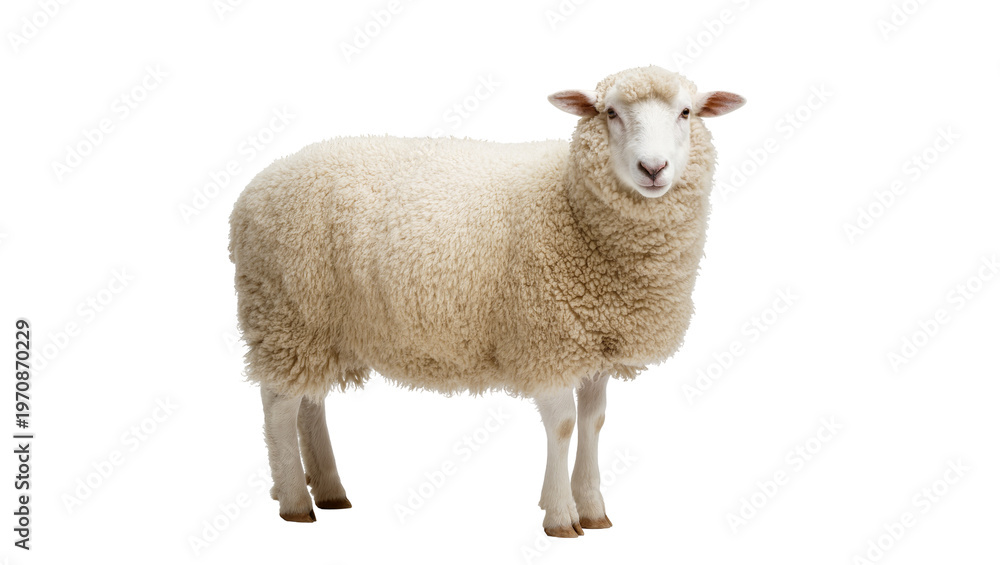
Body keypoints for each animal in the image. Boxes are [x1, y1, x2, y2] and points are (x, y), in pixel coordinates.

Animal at [228, 65, 744, 536]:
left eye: (686, 112)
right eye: (610, 112)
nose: (653, 169)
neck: (571, 208)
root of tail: (258, 184)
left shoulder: (594, 343)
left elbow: (593, 422)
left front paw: (593, 509)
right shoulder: (546, 339)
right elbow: (563, 425)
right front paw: (560, 516)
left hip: (317, 327)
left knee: (308, 401)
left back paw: (329, 488)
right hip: (286, 312)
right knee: (279, 406)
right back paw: (295, 500)